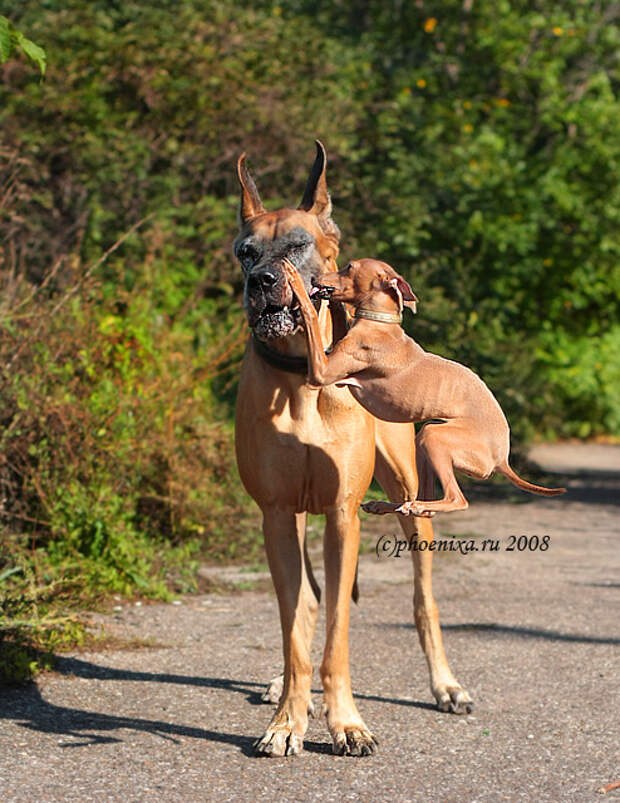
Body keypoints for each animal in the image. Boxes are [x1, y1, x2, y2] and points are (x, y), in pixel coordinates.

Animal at [284, 260, 564, 520]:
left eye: (349, 267)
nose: (315, 278)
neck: (379, 322)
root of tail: (501, 459)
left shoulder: (321, 372)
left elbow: (311, 315)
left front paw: (295, 280)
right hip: (426, 441)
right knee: (425, 505)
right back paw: (388, 505)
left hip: (434, 437)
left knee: (455, 499)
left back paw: (411, 505)